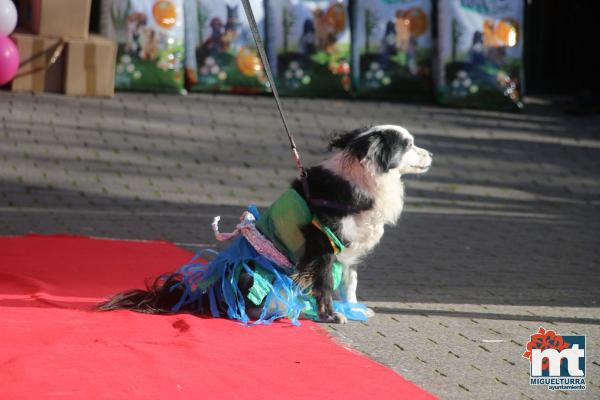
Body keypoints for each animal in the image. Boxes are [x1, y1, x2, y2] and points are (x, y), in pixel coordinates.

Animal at [101, 126, 434, 324]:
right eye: (408, 145)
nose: (431, 154)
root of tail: (205, 296)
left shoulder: (345, 249)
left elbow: (349, 281)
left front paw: (352, 308)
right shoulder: (323, 245)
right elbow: (325, 285)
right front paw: (330, 316)